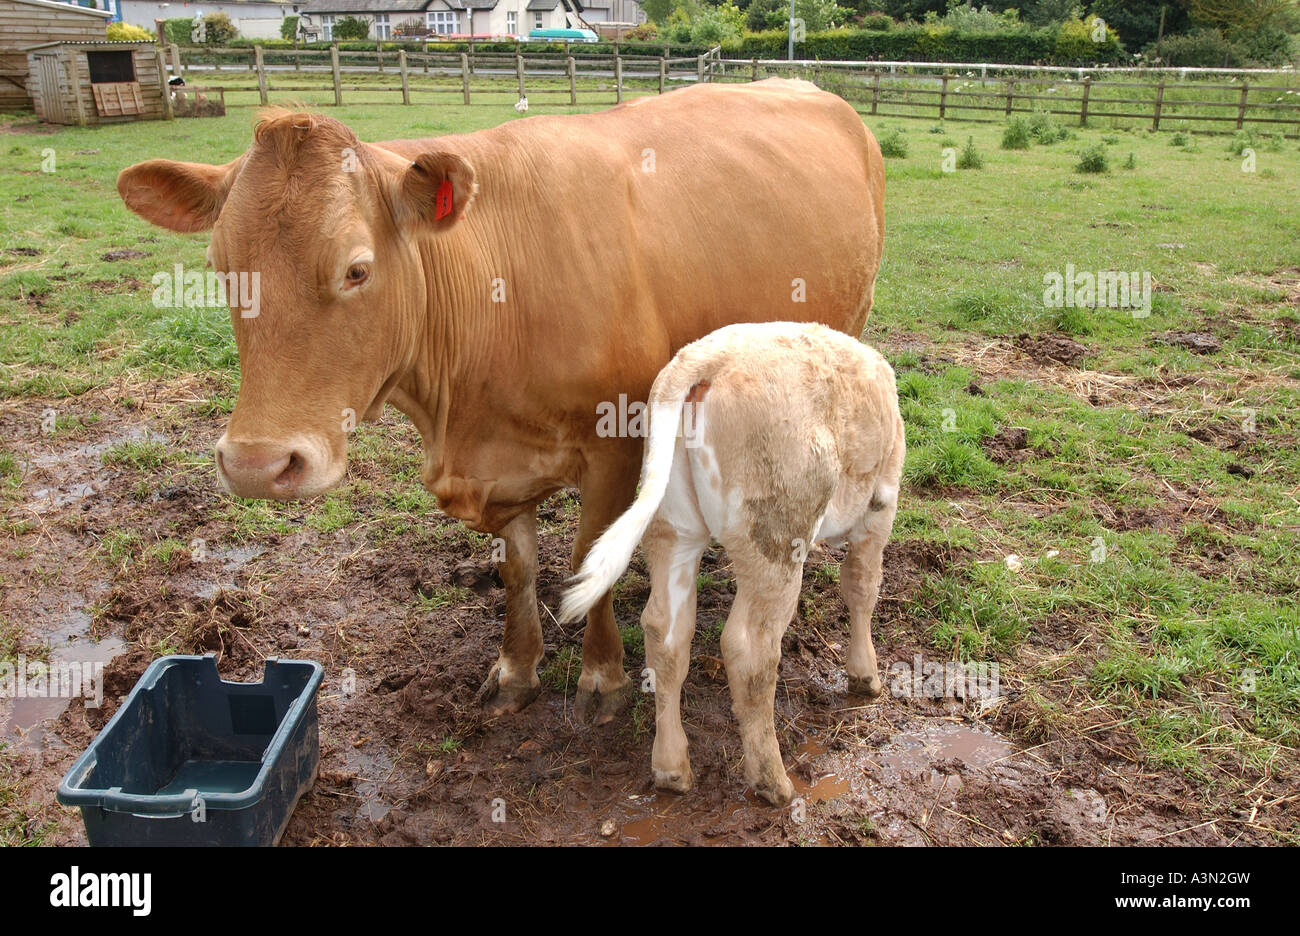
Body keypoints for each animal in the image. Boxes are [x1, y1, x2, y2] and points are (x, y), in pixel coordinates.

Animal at [115, 78, 885, 725]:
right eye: (221, 268)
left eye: (357, 268)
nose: (256, 464)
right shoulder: (500, 468)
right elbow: (519, 571)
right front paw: (517, 669)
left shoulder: (616, 440)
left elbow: (586, 558)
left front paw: (603, 678)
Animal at [559, 322, 904, 805]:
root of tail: (702, 359)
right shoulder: (880, 508)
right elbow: (861, 589)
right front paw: (865, 676)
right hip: (775, 535)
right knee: (749, 648)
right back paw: (772, 781)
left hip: (673, 528)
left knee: (665, 633)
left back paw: (671, 769)